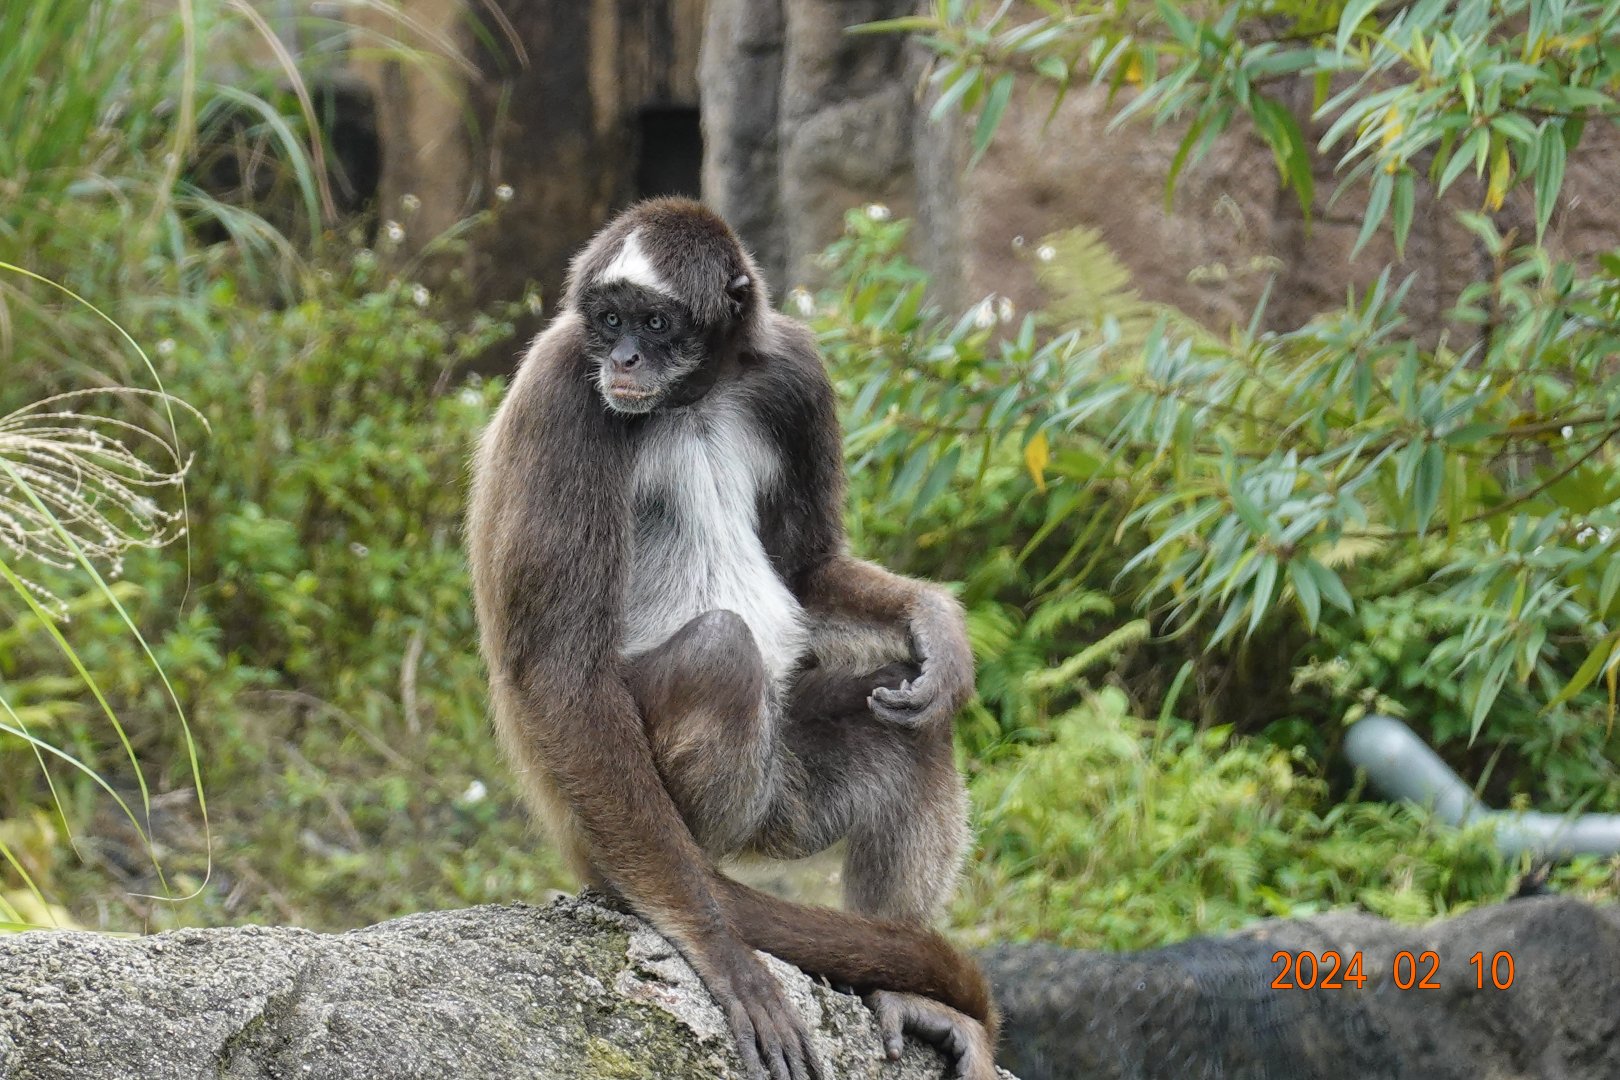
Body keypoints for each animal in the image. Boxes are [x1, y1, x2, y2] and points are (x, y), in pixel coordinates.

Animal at [467, 197, 997, 1080]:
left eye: (655, 321)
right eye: (608, 321)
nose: (625, 357)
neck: (694, 397)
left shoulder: (793, 370)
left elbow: (807, 566)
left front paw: (937, 622)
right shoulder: (565, 386)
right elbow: (560, 670)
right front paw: (721, 949)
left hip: (783, 794)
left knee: (913, 728)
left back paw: (902, 987)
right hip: (633, 812)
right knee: (719, 651)